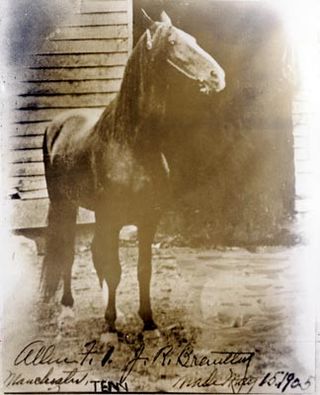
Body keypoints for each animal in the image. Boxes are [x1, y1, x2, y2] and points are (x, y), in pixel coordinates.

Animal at [41, 10, 225, 334]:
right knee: (67, 253)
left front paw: (147, 321)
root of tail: (58, 123)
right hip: (64, 204)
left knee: (94, 255)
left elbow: (142, 270)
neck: (133, 145)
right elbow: (113, 269)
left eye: (193, 38)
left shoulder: (147, 220)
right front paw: (110, 328)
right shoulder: (111, 219)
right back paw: (67, 307)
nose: (218, 76)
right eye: (173, 42)